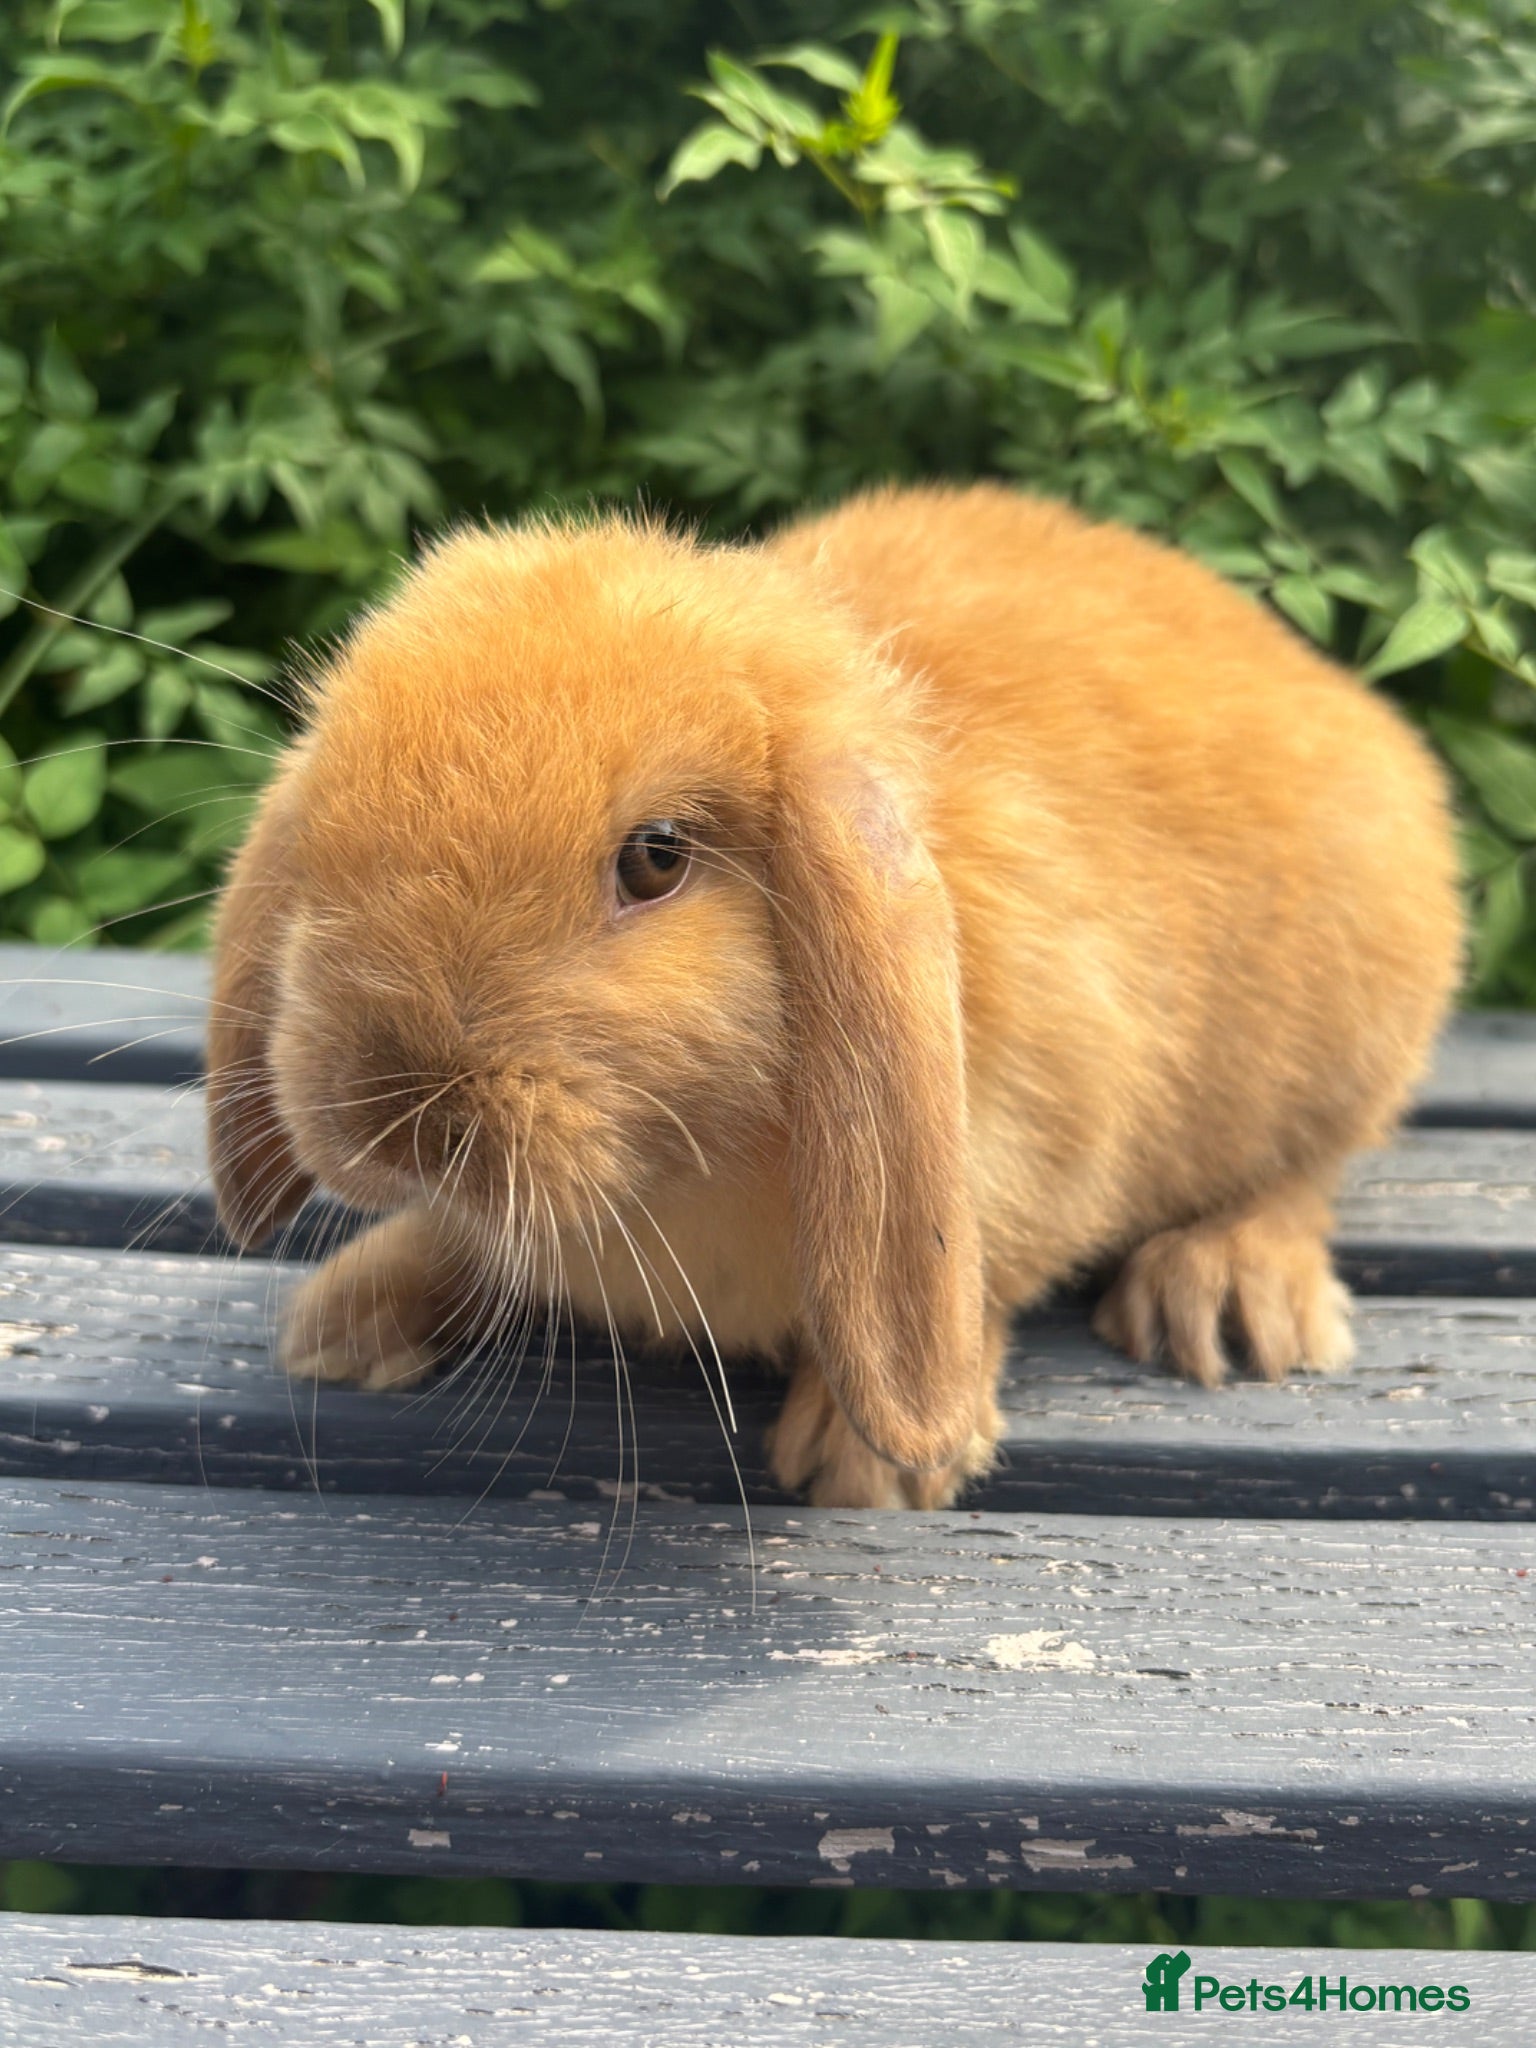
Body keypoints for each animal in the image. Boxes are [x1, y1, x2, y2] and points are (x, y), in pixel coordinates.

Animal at [206, 482, 1463, 1510]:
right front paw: (346, 1317)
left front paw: (871, 1467)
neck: (682, 1166)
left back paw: (1231, 1291)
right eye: (325, 834)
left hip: (1351, 1041)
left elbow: (984, 1287)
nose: (392, 1116)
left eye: (656, 857)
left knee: (1310, 1168)